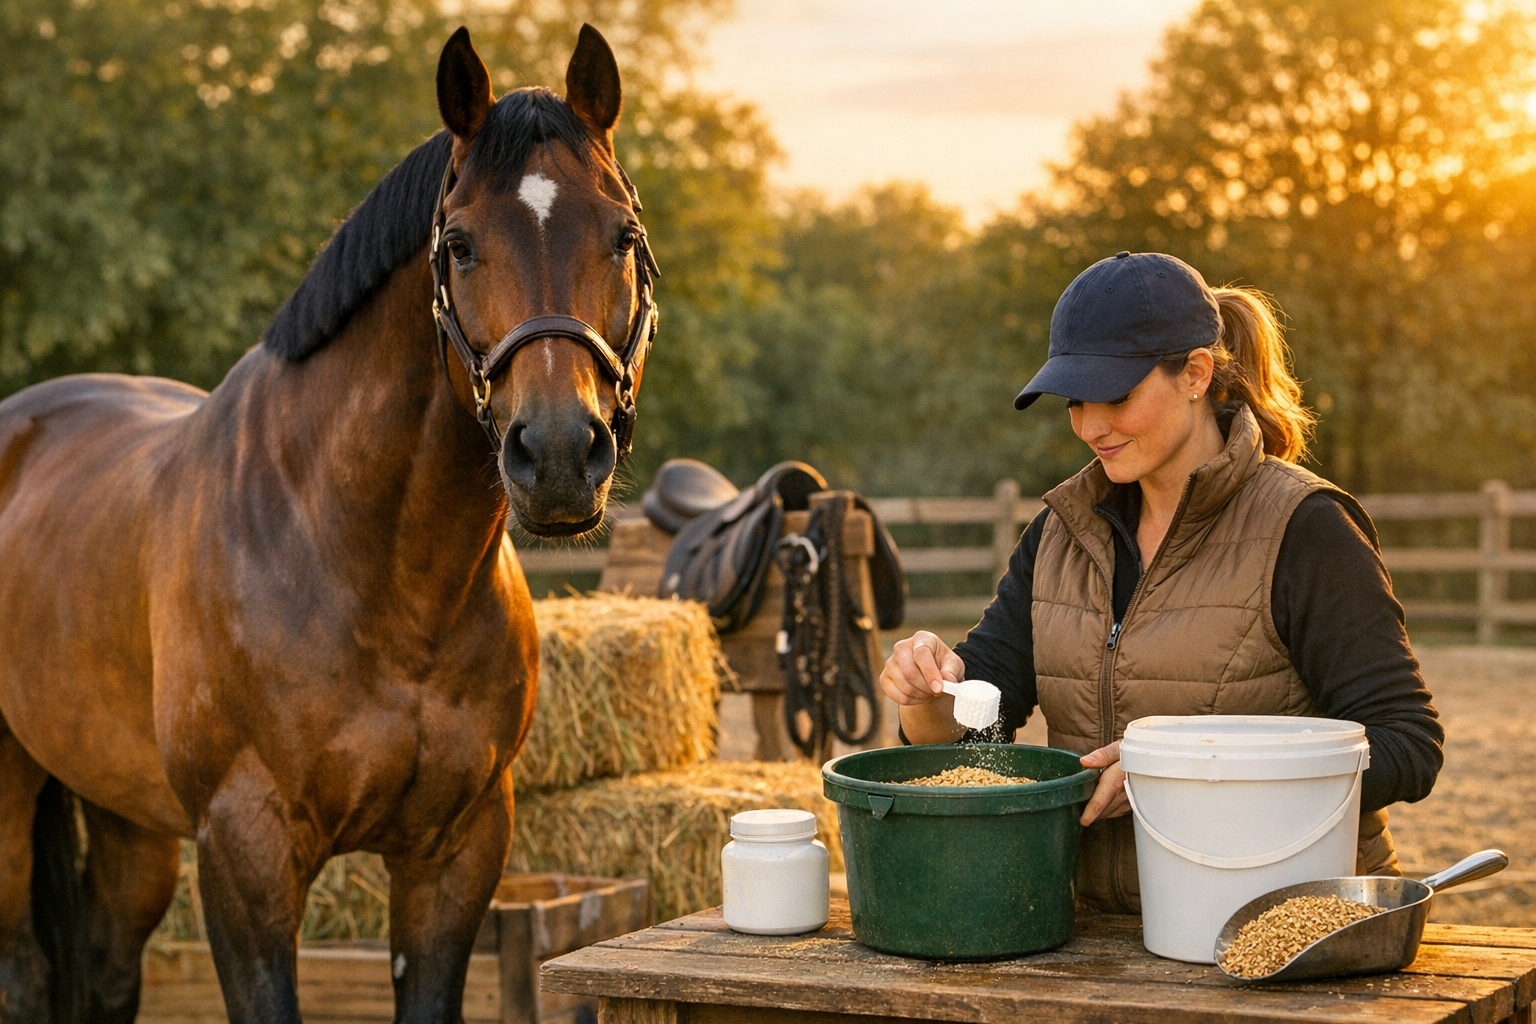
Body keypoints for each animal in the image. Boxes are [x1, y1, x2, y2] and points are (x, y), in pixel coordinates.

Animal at [0, 23, 655, 1024]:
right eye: (459, 244)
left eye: (623, 236)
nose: (555, 455)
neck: (365, 565)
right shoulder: (246, 854)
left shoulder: (455, 852)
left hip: (124, 816)